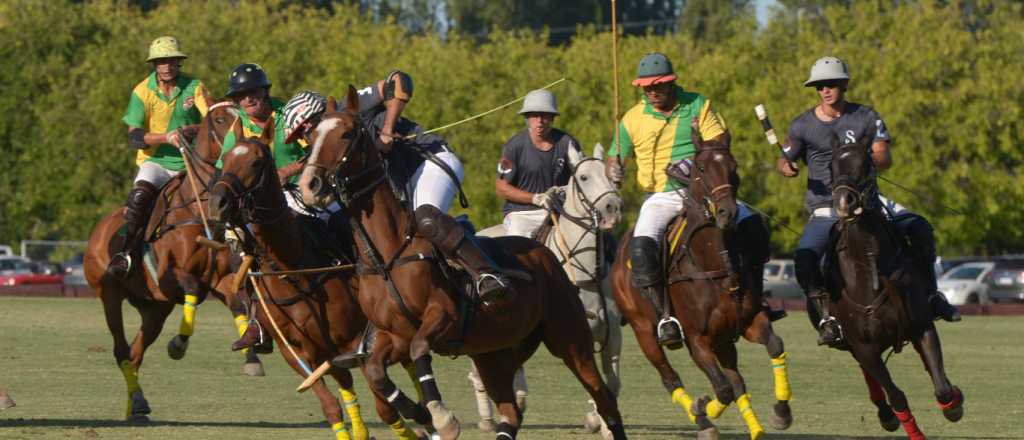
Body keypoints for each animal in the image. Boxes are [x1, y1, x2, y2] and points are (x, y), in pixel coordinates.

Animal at [83, 97, 266, 421]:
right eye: (220, 119)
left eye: (242, 115)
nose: (244, 143)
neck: (199, 211)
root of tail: (98, 230)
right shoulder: (171, 278)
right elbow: (194, 290)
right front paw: (178, 345)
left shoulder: (222, 278)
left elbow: (237, 302)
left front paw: (252, 358)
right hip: (110, 295)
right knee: (121, 351)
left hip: (155, 309)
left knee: (136, 353)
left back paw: (136, 405)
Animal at [473, 143, 622, 435]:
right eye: (584, 177)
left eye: (609, 175)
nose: (612, 207)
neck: (584, 270)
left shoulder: (612, 336)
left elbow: (610, 384)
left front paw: (602, 424)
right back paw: (486, 418)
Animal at [610, 130, 794, 440]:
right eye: (702, 168)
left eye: (734, 166)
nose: (726, 212)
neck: (714, 262)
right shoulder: (697, 340)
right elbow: (722, 389)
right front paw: (701, 410)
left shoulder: (749, 321)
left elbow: (774, 346)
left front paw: (781, 412)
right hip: (644, 330)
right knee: (671, 379)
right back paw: (703, 421)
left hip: (724, 337)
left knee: (737, 380)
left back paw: (756, 429)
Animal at [827, 137, 962, 440]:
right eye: (831, 166)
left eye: (866, 163)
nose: (843, 203)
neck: (870, 263)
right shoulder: (863, 347)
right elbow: (896, 394)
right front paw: (902, 423)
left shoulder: (922, 326)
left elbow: (942, 387)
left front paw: (954, 405)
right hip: (852, 344)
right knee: (872, 379)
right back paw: (885, 414)